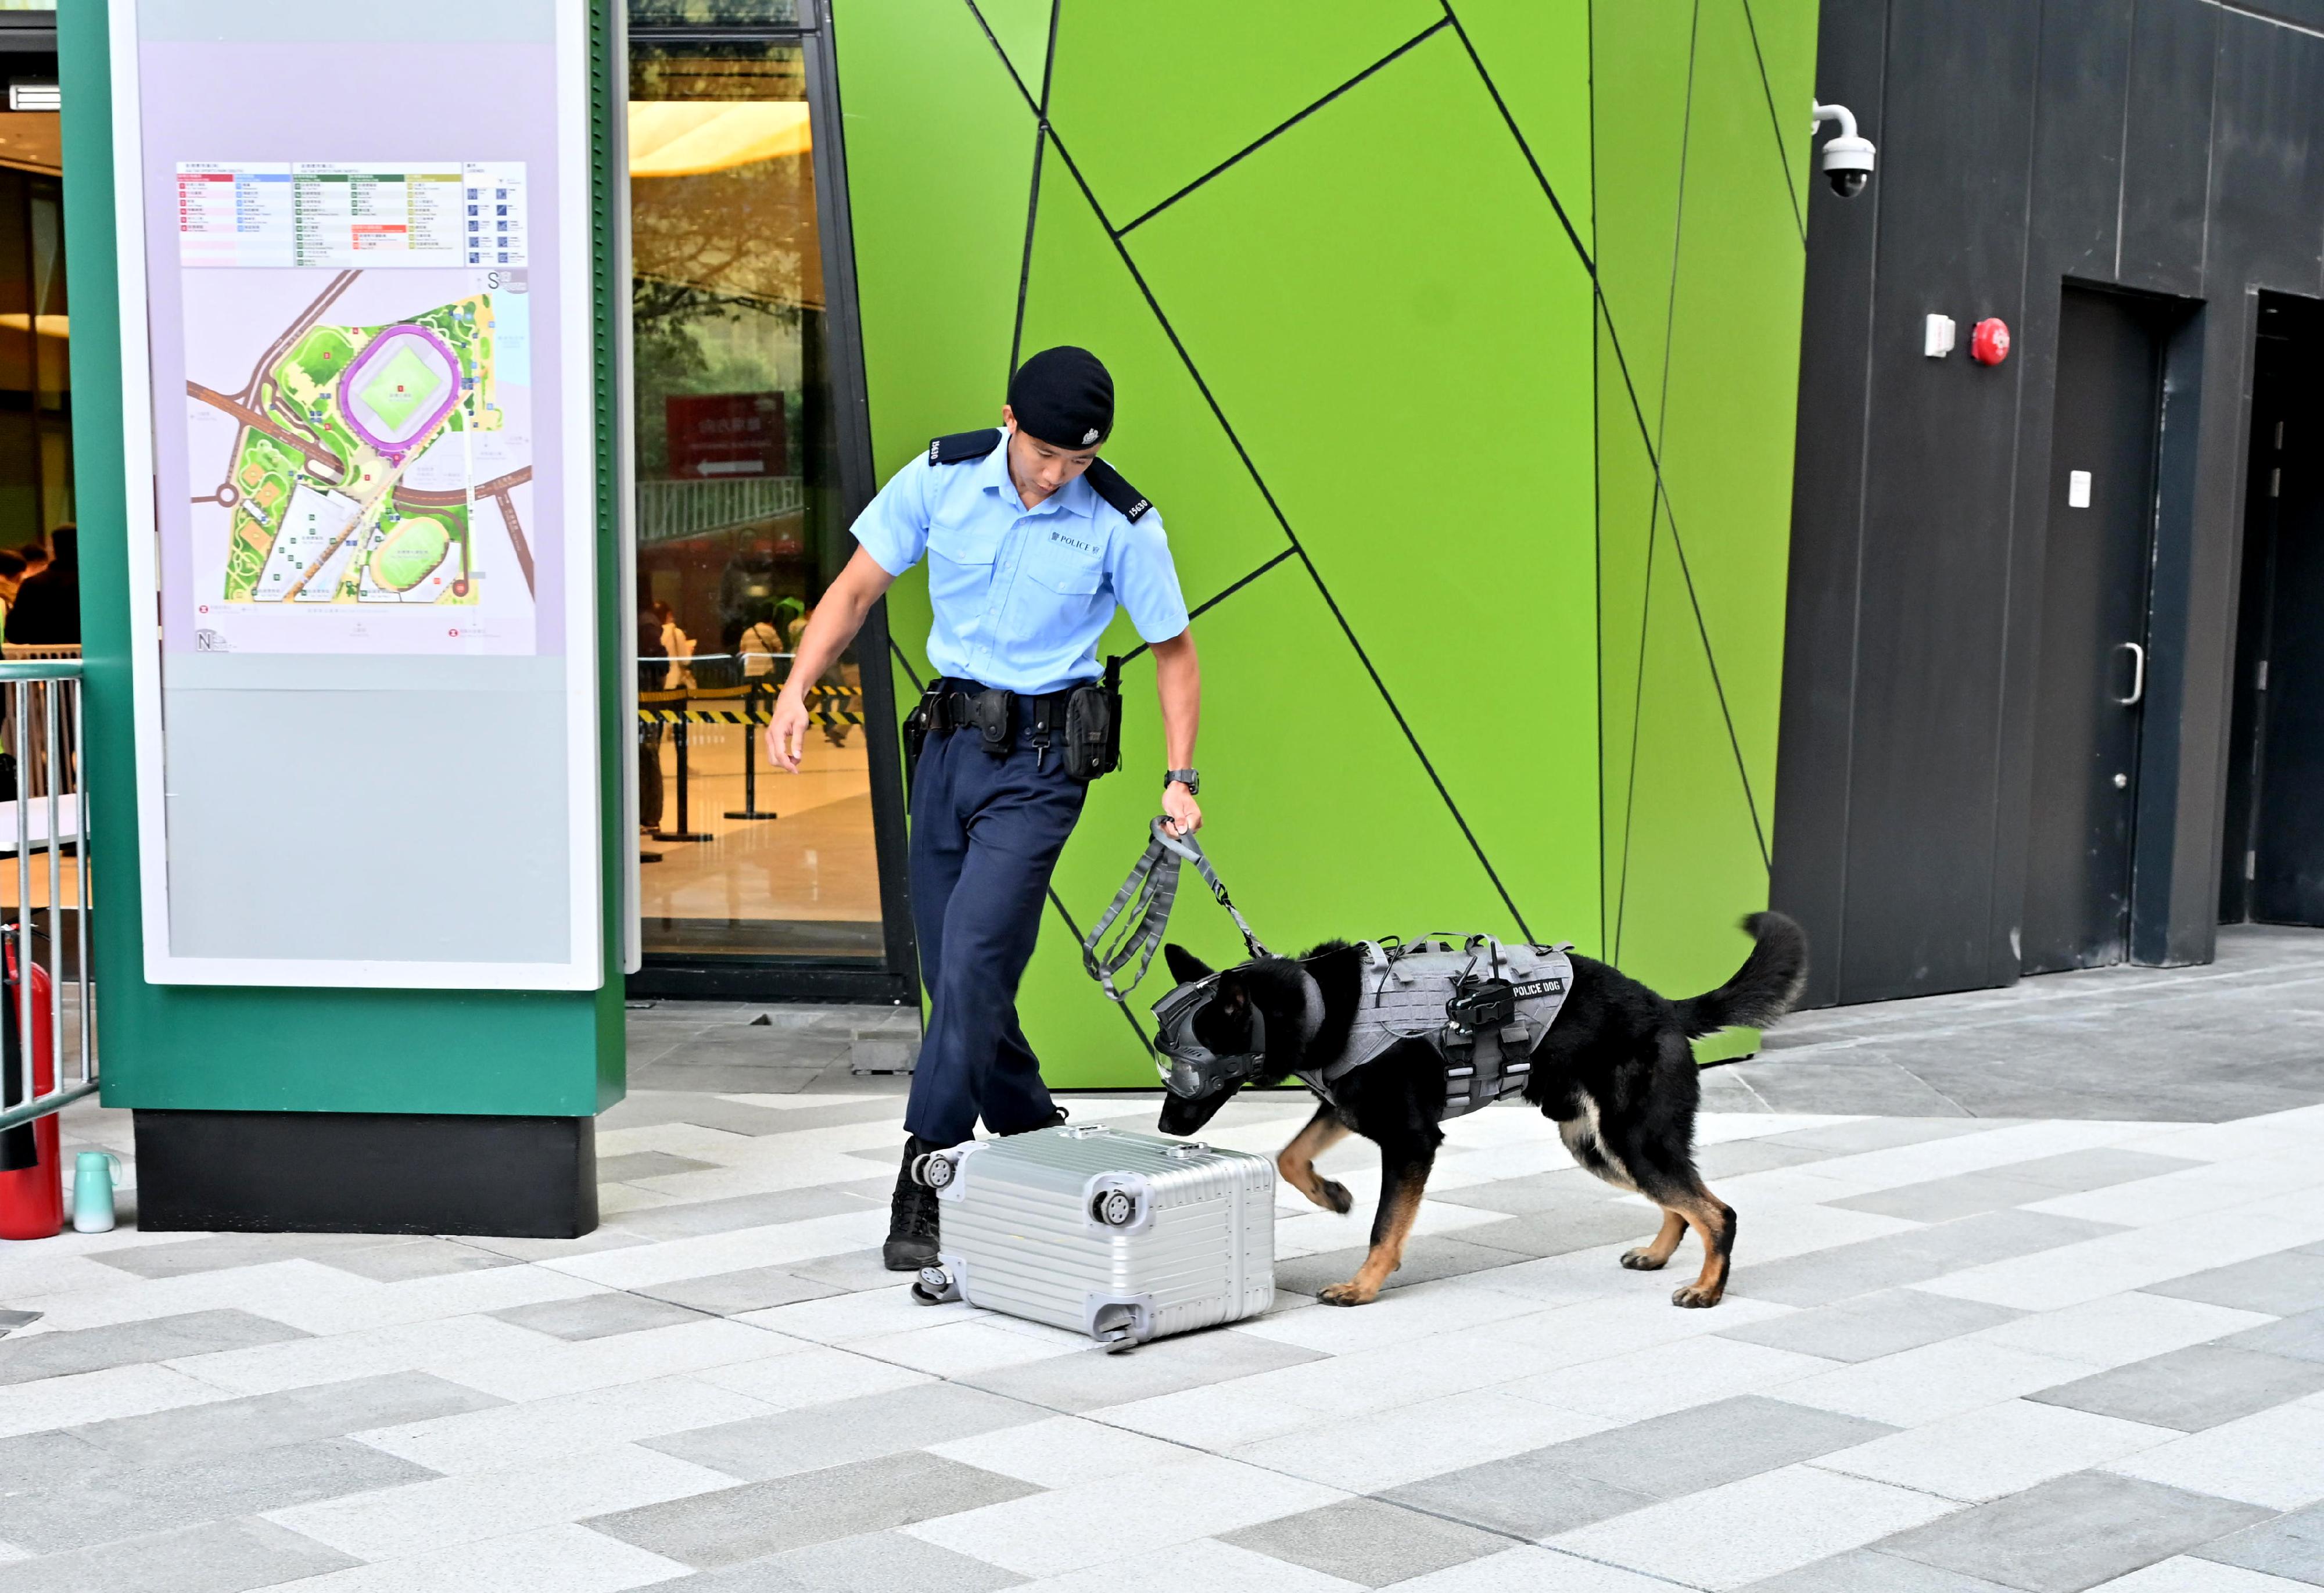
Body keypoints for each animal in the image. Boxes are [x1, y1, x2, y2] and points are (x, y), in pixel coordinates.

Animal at [1153, 919, 1803, 1319]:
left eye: (1185, 1070)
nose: (1165, 1129)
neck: (1320, 1005)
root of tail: (1666, 1008)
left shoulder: (1410, 1141)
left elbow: (1385, 1228)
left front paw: (1363, 1286)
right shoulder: (1346, 1108)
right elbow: (1291, 1155)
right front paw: (1330, 1194)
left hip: (1629, 1140)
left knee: (1717, 1211)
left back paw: (1707, 1289)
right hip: (1599, 1145)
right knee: (1682, 1201)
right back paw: (1659, 1253)